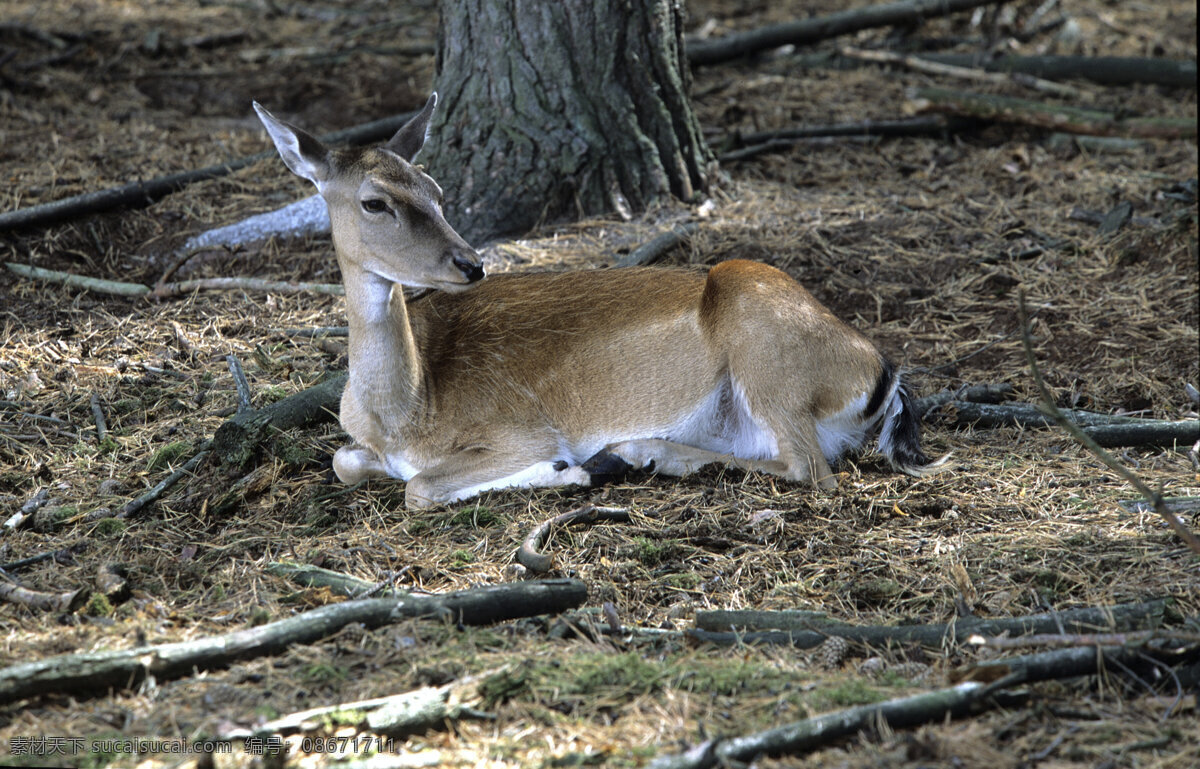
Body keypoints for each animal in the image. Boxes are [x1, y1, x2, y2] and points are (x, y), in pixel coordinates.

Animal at [253, 94, 945, 509]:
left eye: (436, 188)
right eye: (374, 200)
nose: (470, 263)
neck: (404, 411)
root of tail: (883, 374)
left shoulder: (520, 428)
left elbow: (420, 486)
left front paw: (569, 470)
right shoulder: (358, 443)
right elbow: (343, 460)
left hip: (767, 351)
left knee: (812, 469)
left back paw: (633, 455)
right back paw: (641, 453)